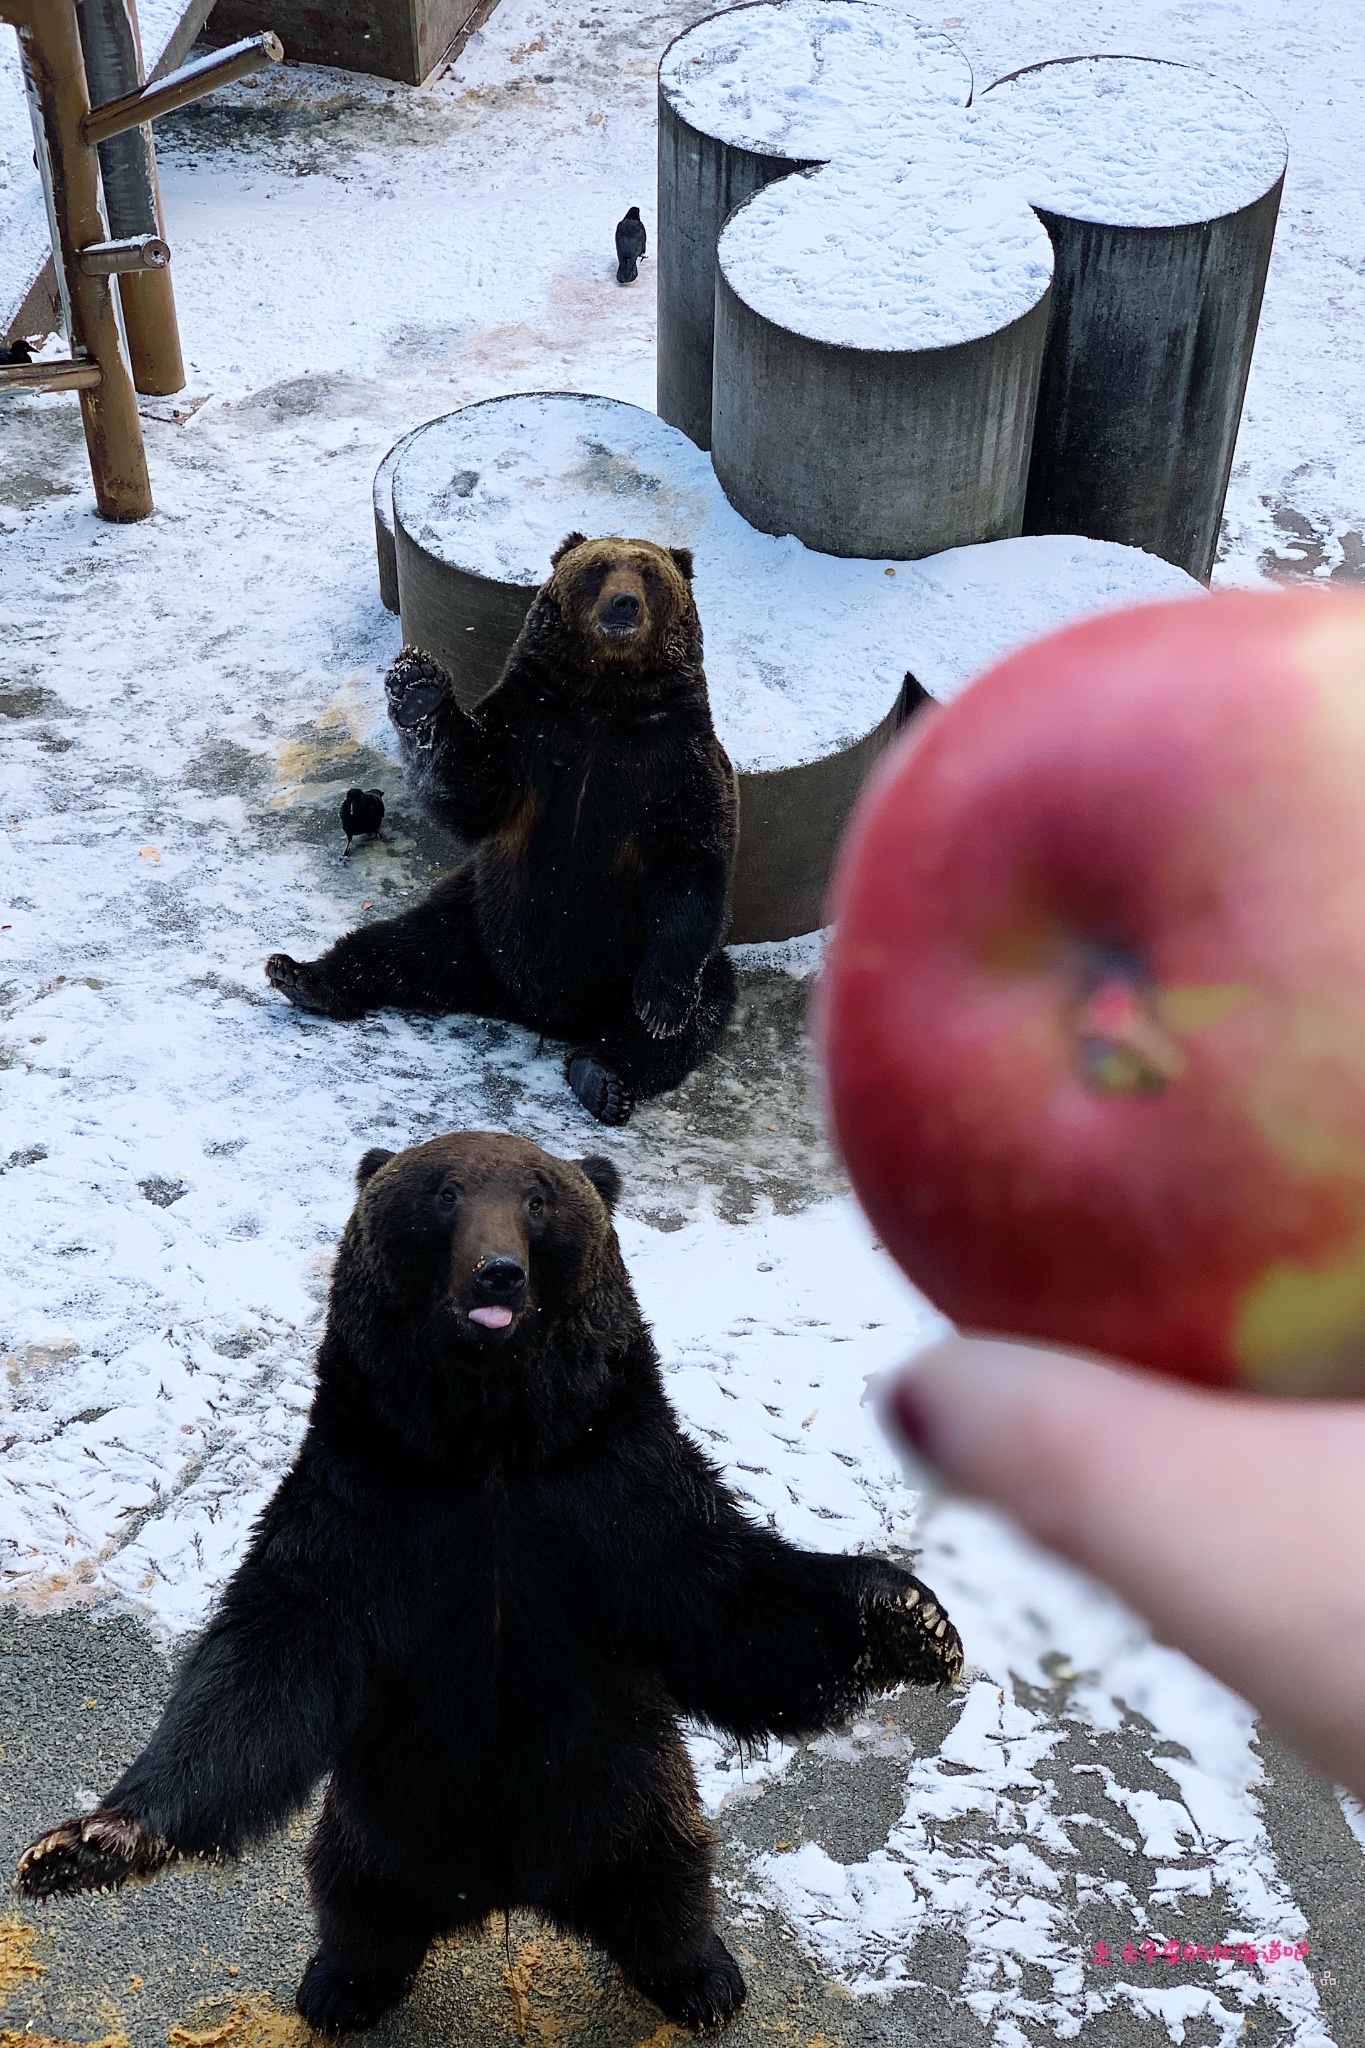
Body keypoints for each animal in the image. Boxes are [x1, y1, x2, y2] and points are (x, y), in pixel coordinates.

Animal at [15, 1130, 965, 2039]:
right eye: (443, 1193)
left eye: (539, 1197)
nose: (497, 1270)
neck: (491, 1443)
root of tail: (510, 1890)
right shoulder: (364, 1503)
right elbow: (268, 1663)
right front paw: (83, 1844)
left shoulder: (615, 1495)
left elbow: (732, 1603)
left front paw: (913, 1620)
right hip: (383, 1827)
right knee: (355, 1906)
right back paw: (339, 1988)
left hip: (628, 1804)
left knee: (672, 1892)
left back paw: (704, 1981)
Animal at [266, 536, 736, 1130]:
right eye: (599, 567)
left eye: (650, 573)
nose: (624, 604)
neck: (607, 700)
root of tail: (527, 1008)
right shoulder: (531, 732)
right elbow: (471, 785)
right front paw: (418, 689)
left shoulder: (679, 761)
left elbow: (694, 864)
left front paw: (660, 1006)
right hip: (475, 922)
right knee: (395, 944)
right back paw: (302, 977)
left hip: (630, 965)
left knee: (686, 1021)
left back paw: (604, 1078)